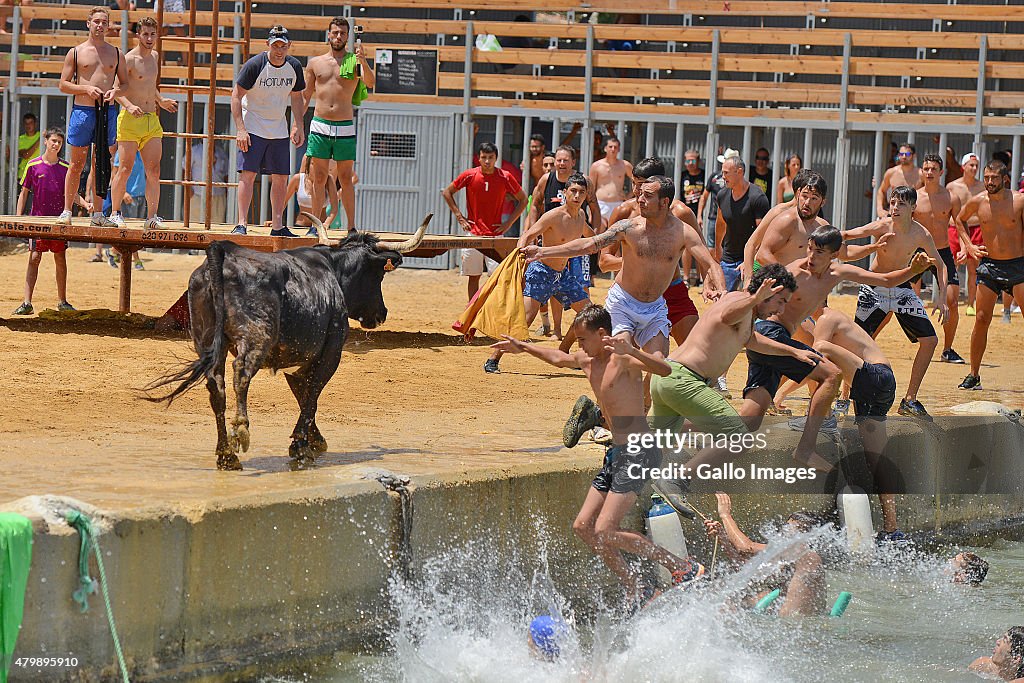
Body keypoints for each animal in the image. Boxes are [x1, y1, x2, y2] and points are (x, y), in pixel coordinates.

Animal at [147, 214, 428, 471]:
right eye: (379, 275)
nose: (382, 314)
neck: (333, 271)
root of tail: (223, 253)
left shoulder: (298, 361)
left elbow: (304, 397)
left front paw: (314, 440)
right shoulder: (330, 353)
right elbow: (312, 395)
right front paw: (300, 448)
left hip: (206, 339)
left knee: (217, 386)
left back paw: (226, 455)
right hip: (256, 337)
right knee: (241, 374)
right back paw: (241, 432)